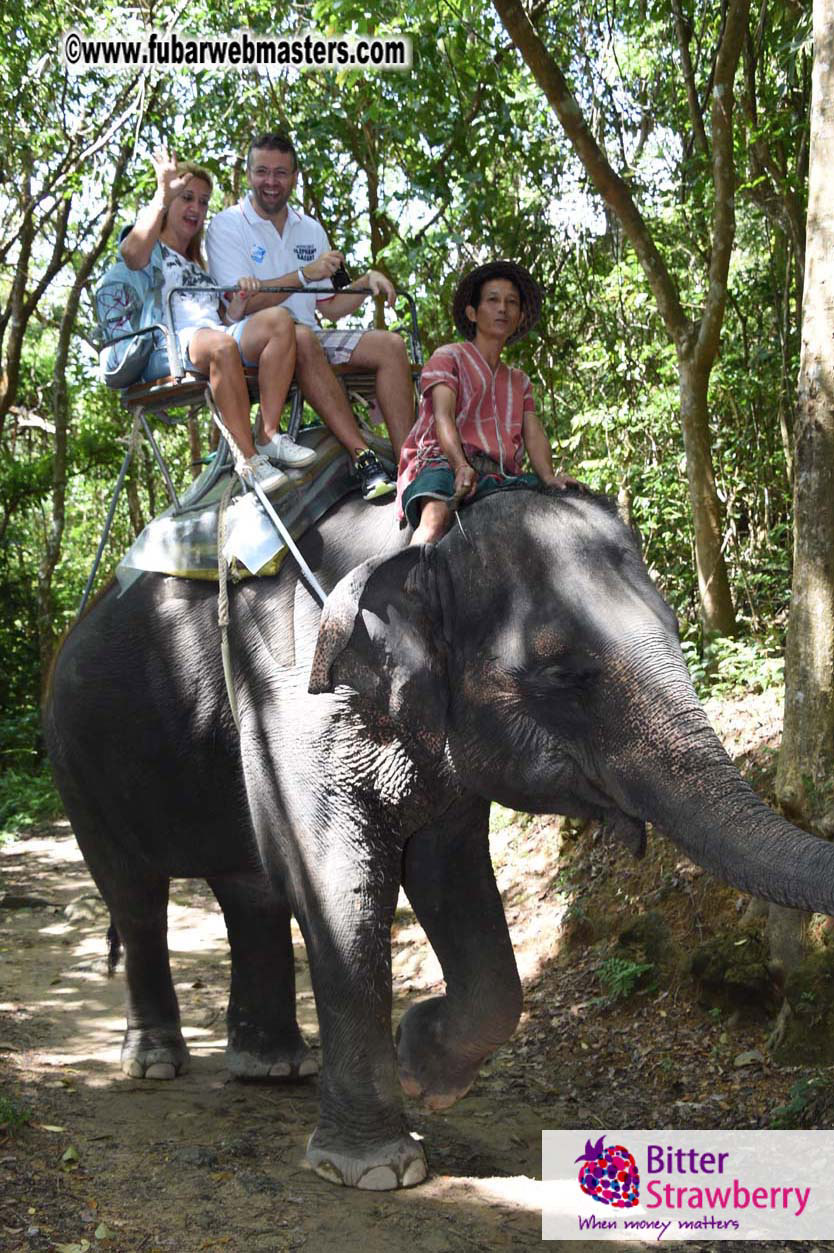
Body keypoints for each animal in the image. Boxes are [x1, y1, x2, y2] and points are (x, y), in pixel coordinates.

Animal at [44, 484, 834, 1191]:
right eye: (563, 675)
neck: (415, 547)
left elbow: (450, 875)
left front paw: (424, 1066)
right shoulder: (289, 700)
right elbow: (337, 880)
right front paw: (375, 1168)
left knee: (249, 892)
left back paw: (273, 1067)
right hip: (77, 764)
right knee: (135, 896)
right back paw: (155, 1062)